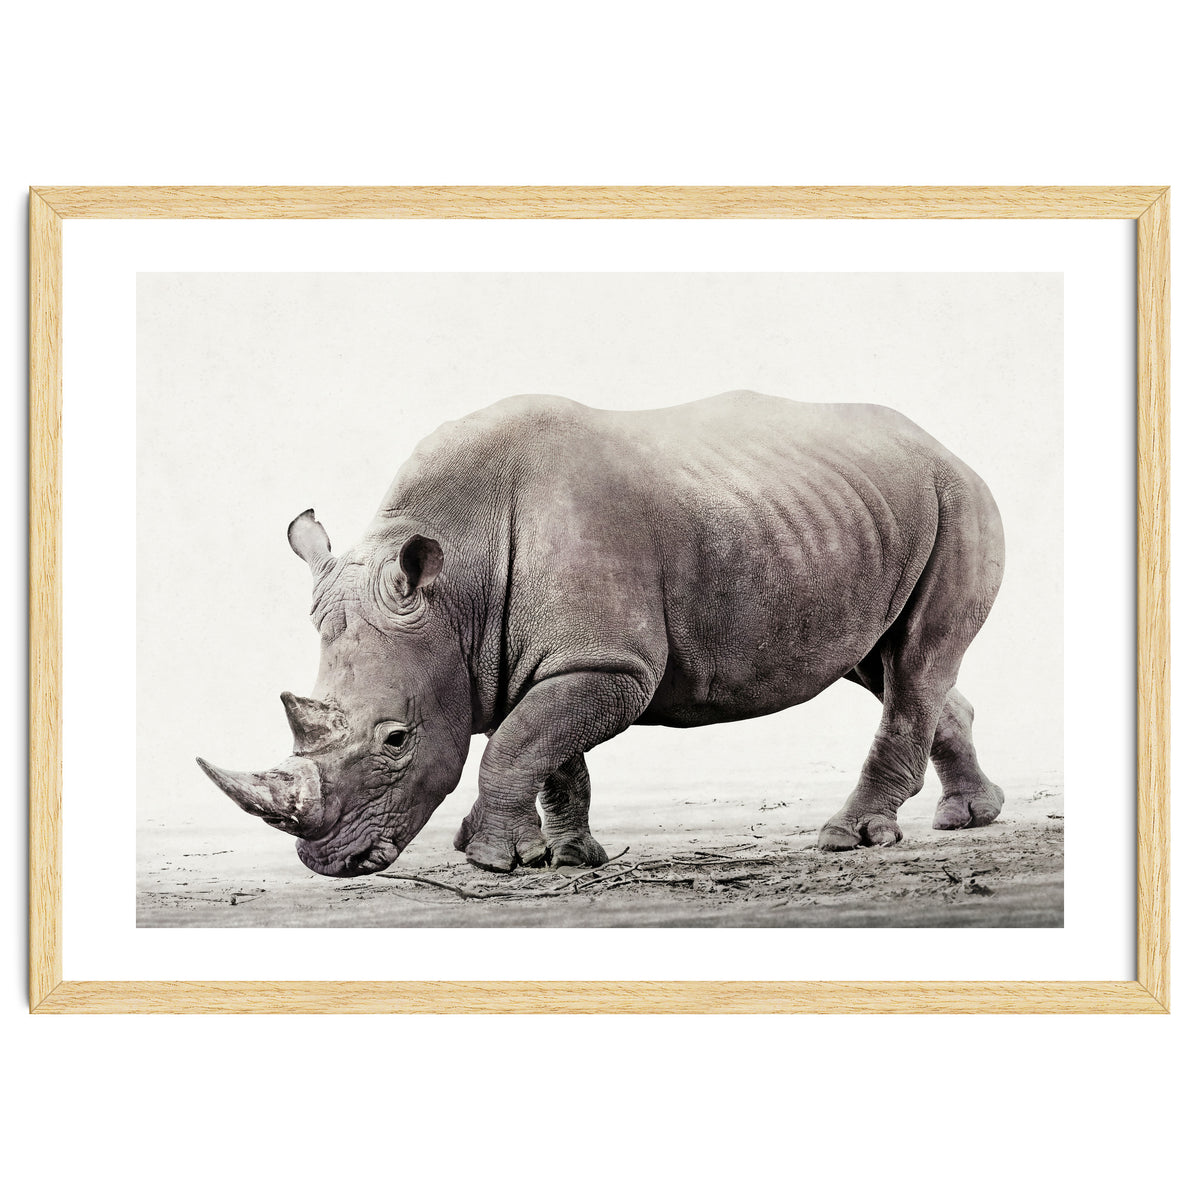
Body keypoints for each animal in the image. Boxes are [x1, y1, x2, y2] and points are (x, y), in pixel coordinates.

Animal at [197, 391, 1005, 877]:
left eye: (396, 740)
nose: (329, 862)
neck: (457, 585)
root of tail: (944, 445)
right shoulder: (553, 658)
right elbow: (549, 751)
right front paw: (569, 856)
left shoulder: (609, 662)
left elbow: (519, 742)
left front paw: (491, 861)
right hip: (853, 515)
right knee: (886, 664)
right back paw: (969, 817)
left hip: (958, 500)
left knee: (914, 663)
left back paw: (851, 837)